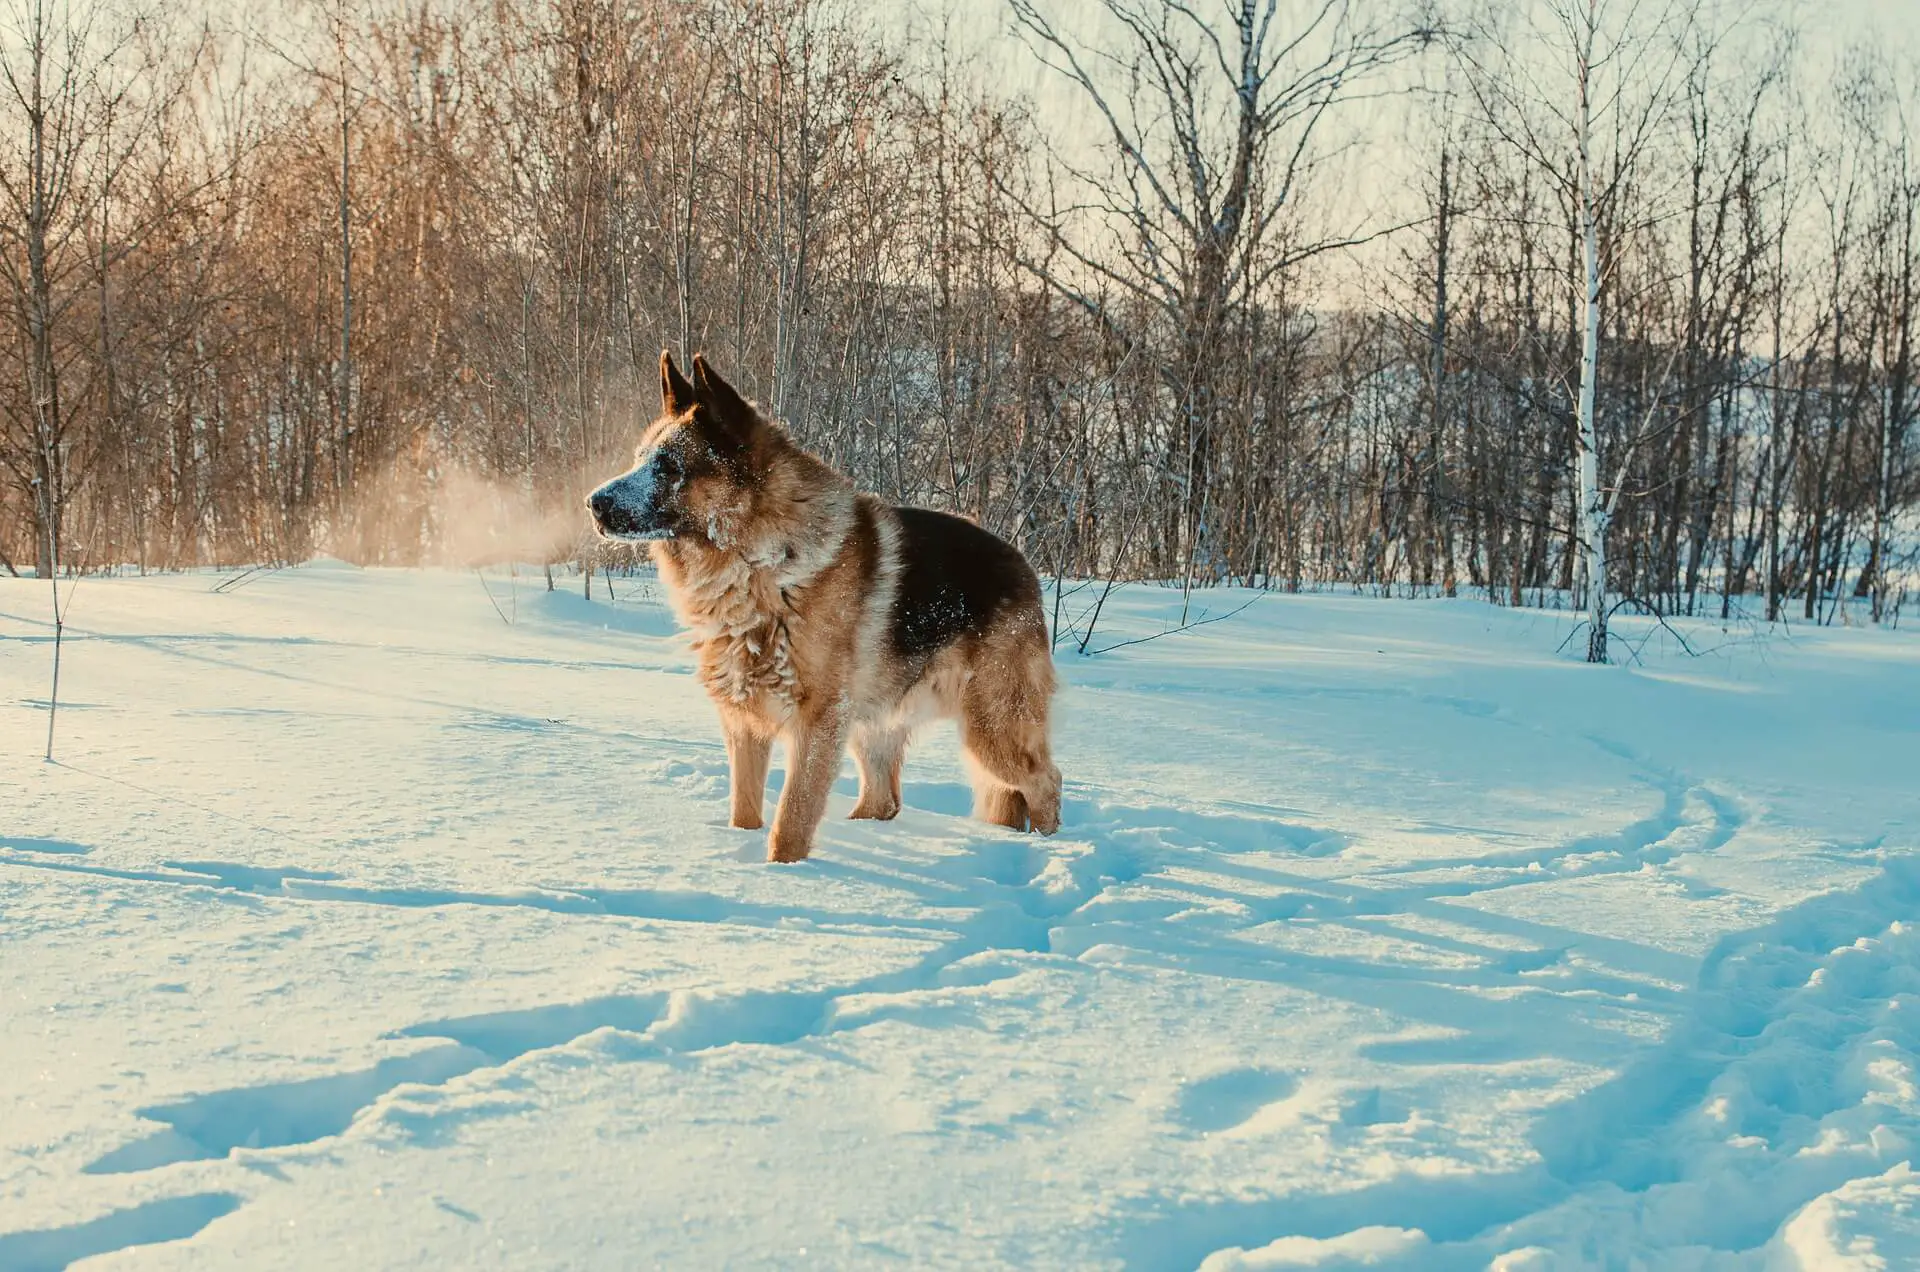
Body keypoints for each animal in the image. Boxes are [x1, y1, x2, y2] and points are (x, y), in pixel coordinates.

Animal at [587, 353, 1067, 860]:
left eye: (668, 467)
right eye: (639, 460)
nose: (591, 504)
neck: (760, 562)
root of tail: (1022, 564)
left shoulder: (816, 723)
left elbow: (792, 818)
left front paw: (782, 871)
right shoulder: (744, 723)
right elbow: (745, 811)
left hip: (990, 729)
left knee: (1046, 782)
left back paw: (1052, 849)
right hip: (874, 725)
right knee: (884, 800)